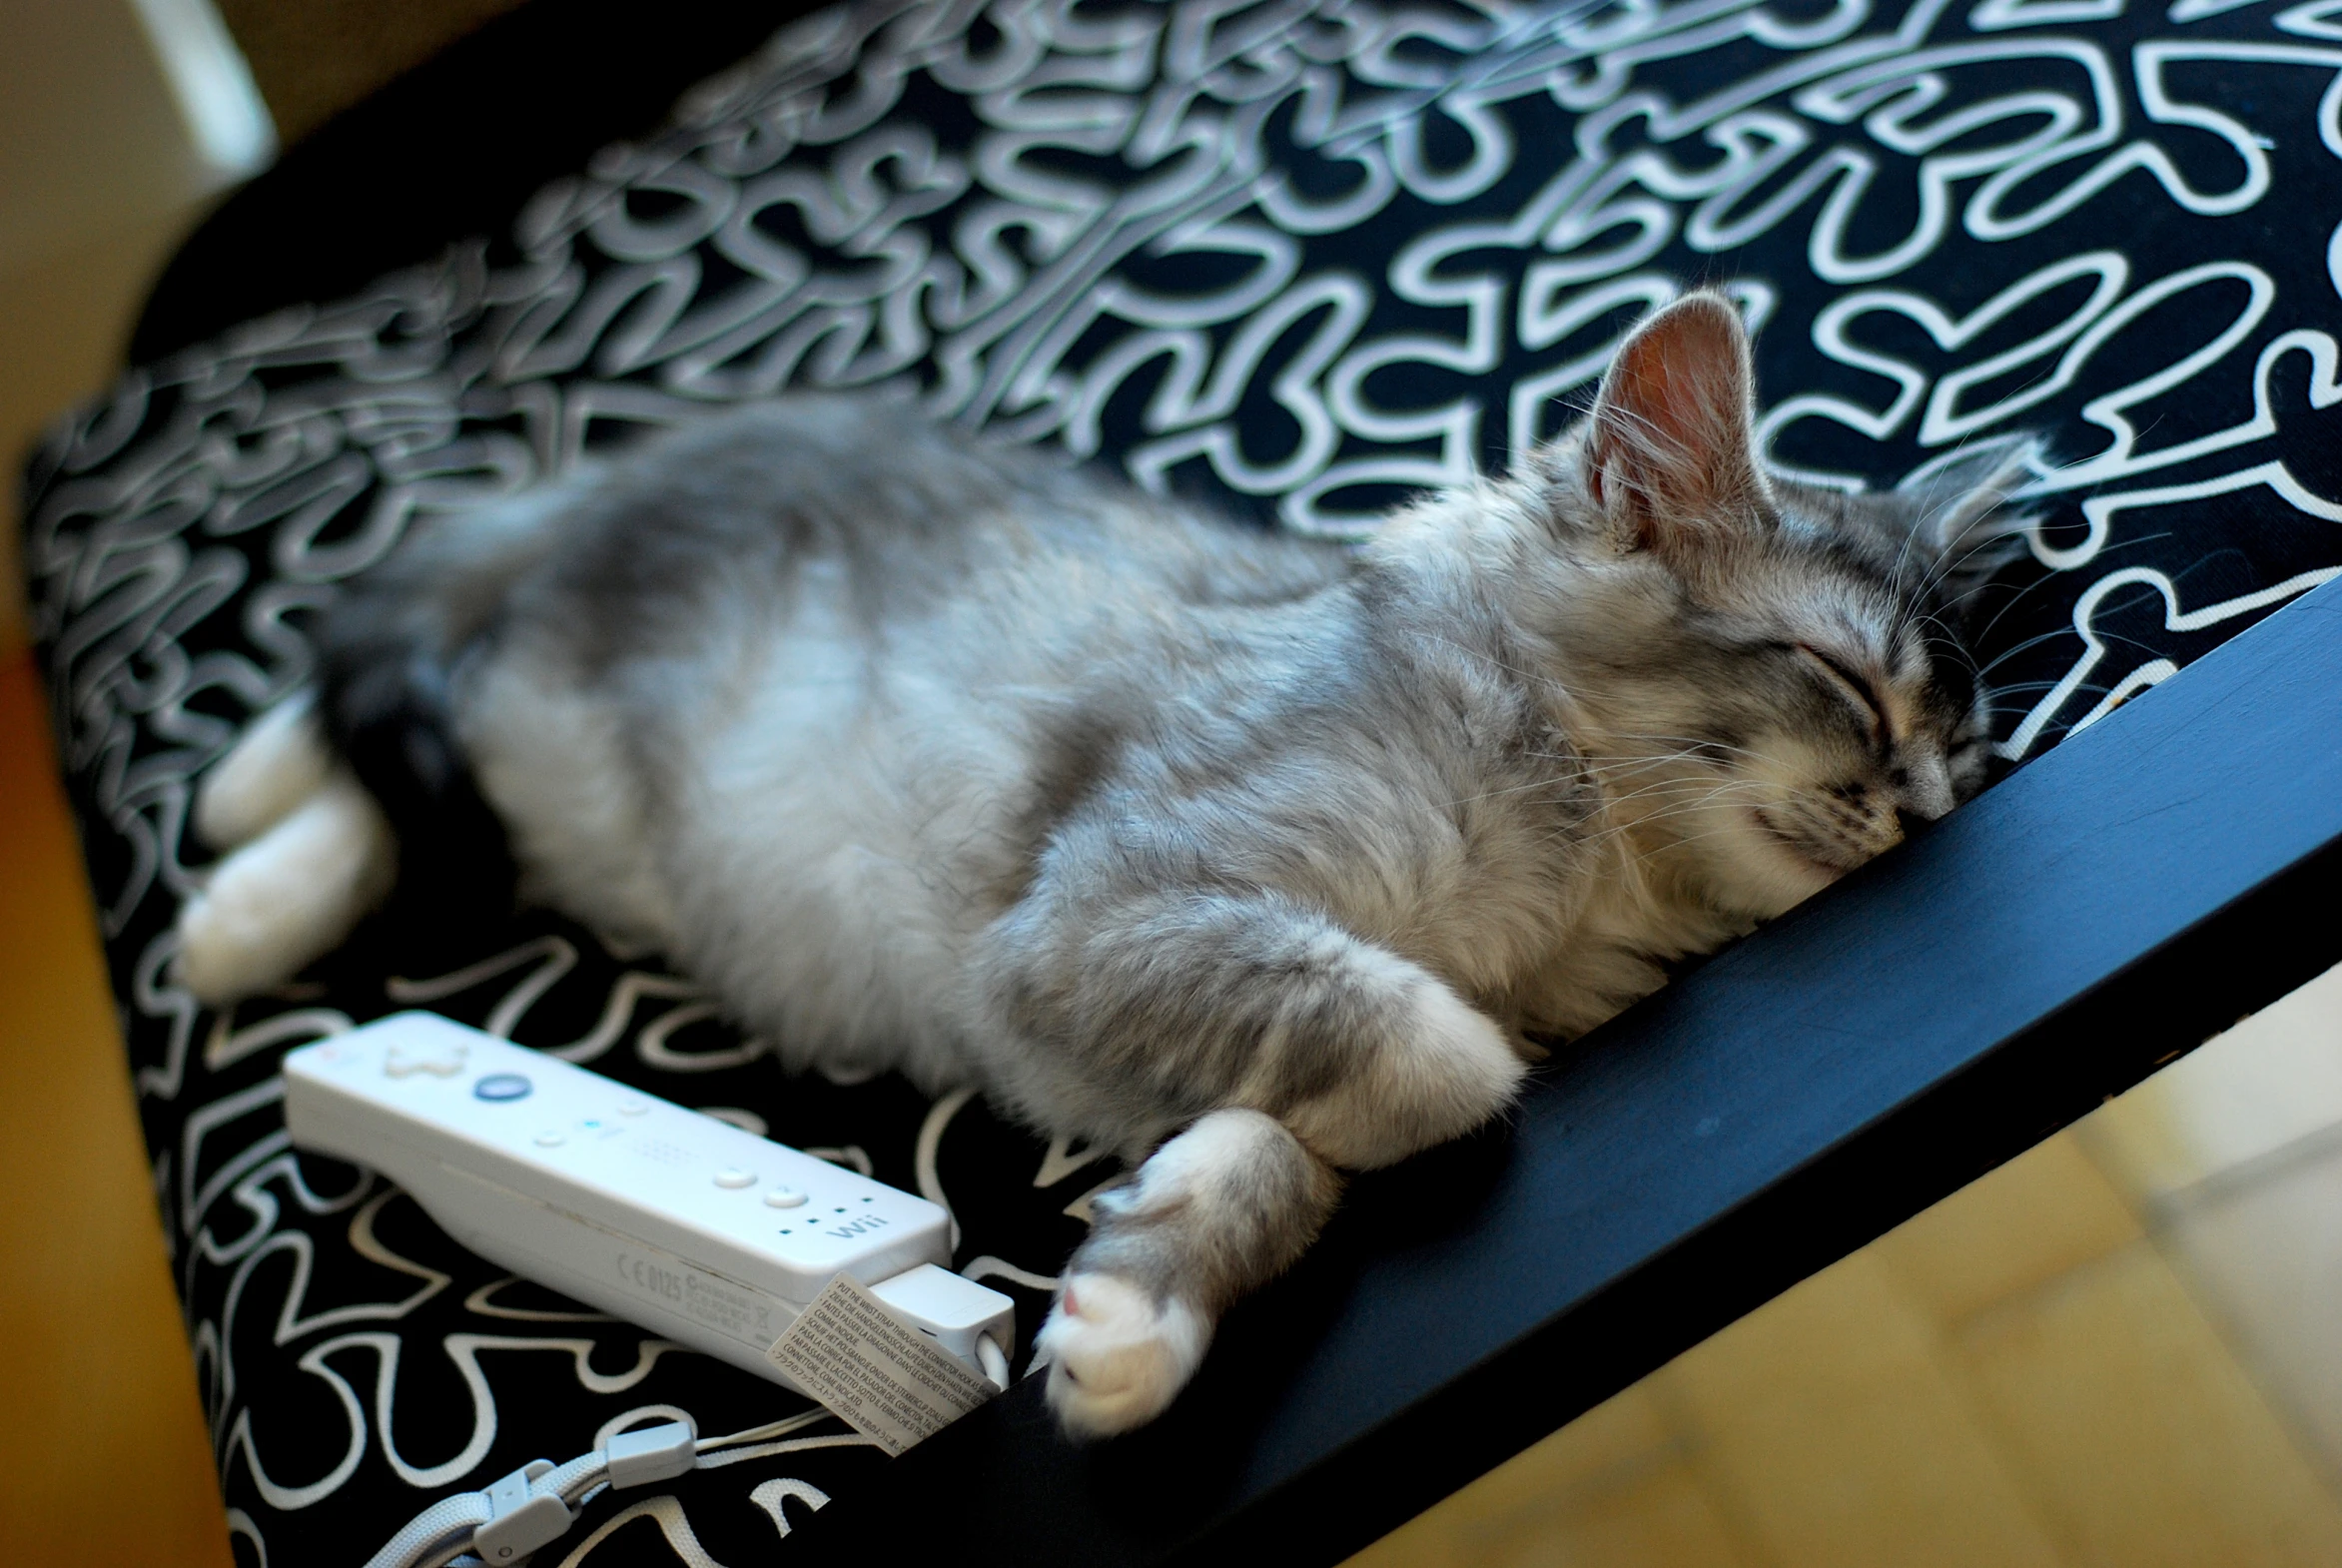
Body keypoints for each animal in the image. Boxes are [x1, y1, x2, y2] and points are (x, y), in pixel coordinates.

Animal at [173, 291, 2032, 1441]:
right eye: (1847, 682)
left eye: (1960, 756)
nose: (1920, 812)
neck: (1575, 866)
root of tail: (648, 455)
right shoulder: (1100, 912)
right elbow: (1440, 1055)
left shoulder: (1162, 975)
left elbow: (1292, 1133)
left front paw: (1143, 1291)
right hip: (551, 705)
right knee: (396, 679)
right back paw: (232, 884)